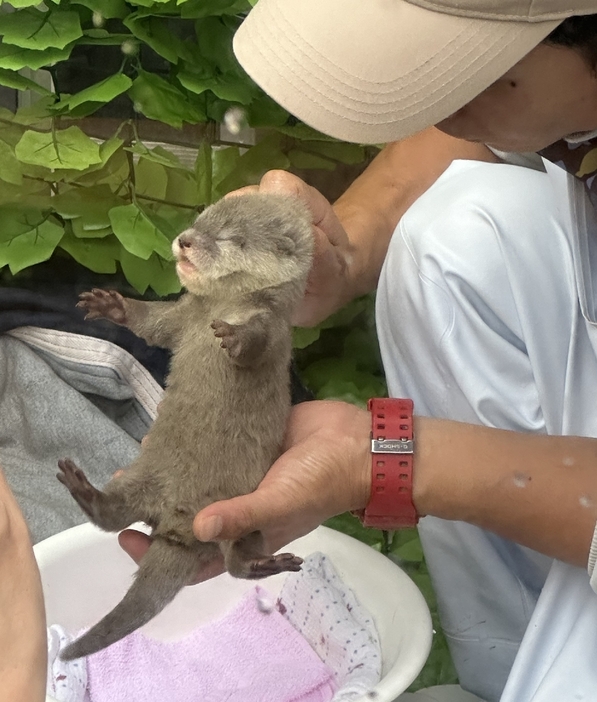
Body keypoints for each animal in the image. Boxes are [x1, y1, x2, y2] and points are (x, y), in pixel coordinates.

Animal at [58, 195, 314, 664]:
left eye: (233, 238)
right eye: (200, 220)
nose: (186, 240)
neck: (223, 307)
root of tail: (177, 526)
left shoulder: (273, 326)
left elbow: (257, 344)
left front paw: (234, 338)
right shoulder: (182, 315)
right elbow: (151, 324)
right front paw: (111, 305)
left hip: (242, 514)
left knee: (236, 563)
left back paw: (263, 563)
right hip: (143, 476)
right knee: (114, 515)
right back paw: (84, 490)